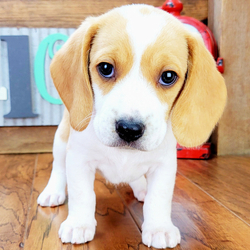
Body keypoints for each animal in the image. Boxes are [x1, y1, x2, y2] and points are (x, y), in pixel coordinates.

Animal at [37, 4, 227, 250]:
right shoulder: (79, 160)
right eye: (105, 68)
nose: (129, 129)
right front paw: (79, 223)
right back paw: (53, 192)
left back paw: (141, 187)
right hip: (61, 141)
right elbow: (82, 194)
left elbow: (159, 198)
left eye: (168, 76)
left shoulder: (164, 165)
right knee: (58, 168)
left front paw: (159, 228)